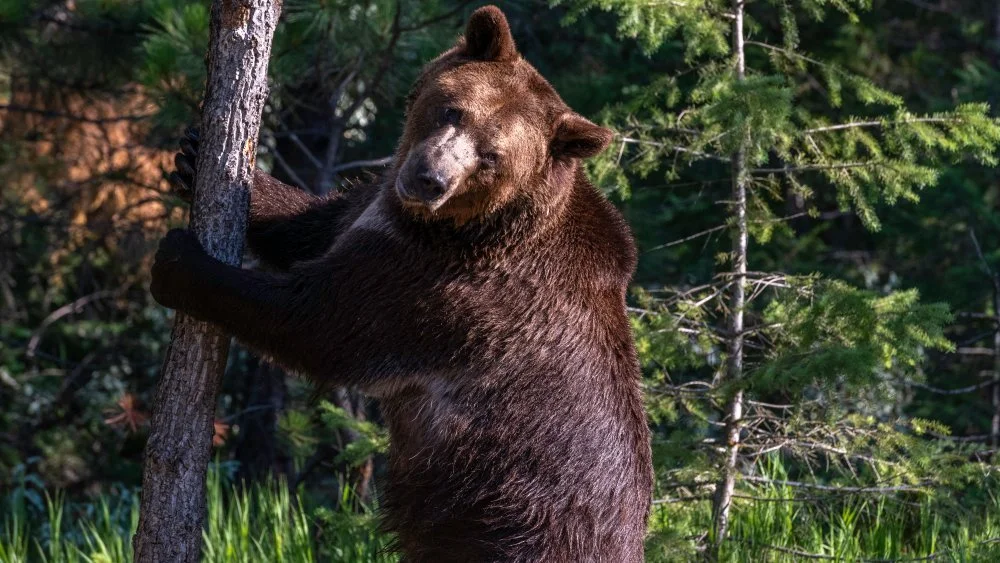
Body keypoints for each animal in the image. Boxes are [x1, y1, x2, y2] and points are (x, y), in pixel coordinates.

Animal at [152, 6, 652, 562]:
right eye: (452, 111)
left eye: (491, 156)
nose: (430, 177)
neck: (463, 226)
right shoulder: (381, 206)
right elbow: (316, 225)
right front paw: (199, 155)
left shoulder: (449, 289)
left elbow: (322, 322)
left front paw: (178, 262)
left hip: (512, 520)